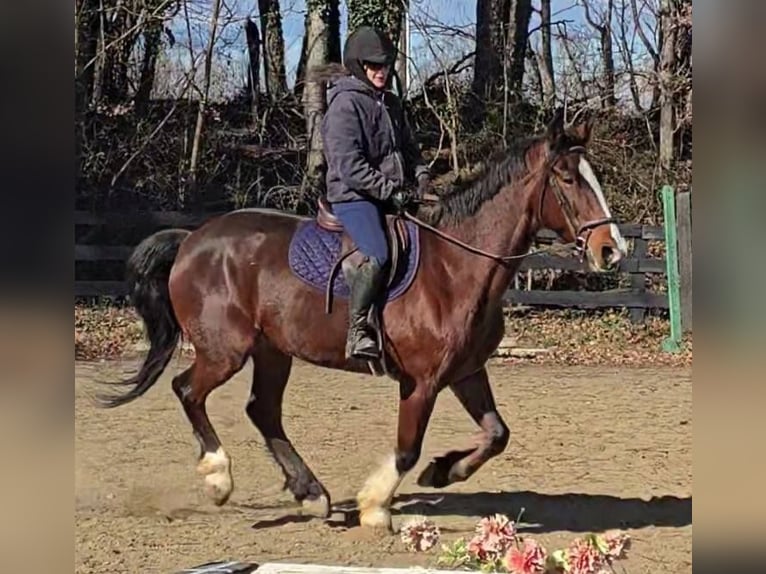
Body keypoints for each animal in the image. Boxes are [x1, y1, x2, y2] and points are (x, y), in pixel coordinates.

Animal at [95, 109, 628, 532]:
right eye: (567, 179)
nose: (612, 251)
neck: (455, 266)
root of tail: (191, 239)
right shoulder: (422, 381)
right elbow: (407, 447)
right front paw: (376, 506)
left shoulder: (466, 372)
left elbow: (497, 434)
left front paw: (443, 472)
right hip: (225, 350)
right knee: (189, 390)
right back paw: (219, 477)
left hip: (272, 350)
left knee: (262, 410)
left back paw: (311, 493)